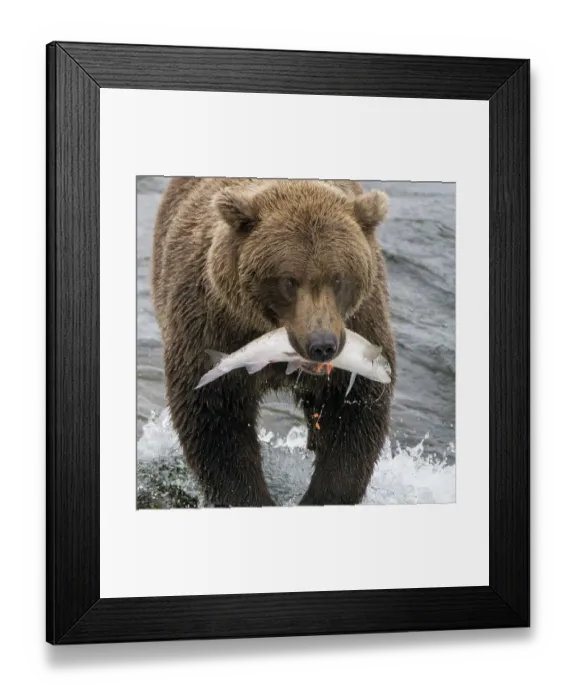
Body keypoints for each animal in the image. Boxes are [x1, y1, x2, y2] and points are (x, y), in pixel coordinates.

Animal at [151, 177, 396, 507]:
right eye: (289, 280)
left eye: (339, 278)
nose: (322, 344)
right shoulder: (209, 323)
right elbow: (215, 422)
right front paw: (250, 496)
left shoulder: (363, 324)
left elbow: (355, 418)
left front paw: (320, 495)